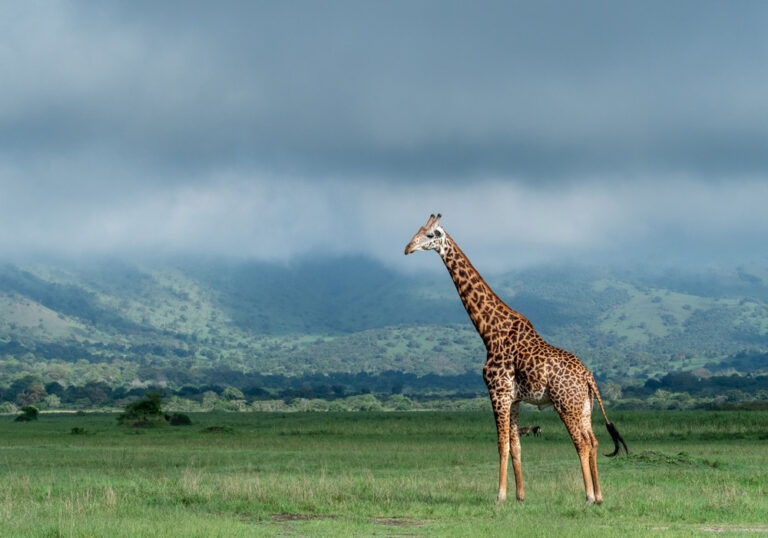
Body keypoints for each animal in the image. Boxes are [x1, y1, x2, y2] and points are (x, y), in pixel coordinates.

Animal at [405, 214, 627, 504]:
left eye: (431, 234)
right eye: (418, 230)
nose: (407, 248)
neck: (489, 332)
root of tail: (588, 375)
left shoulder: (497, 392)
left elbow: (502, 444)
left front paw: (499, 495)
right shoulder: (514, 399)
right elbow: (516, 446)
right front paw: (520, 495)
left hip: (565, 404)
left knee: (582, 442)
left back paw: (589, 496)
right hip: (585, 406)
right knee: (595, 441)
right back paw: (600, 495)